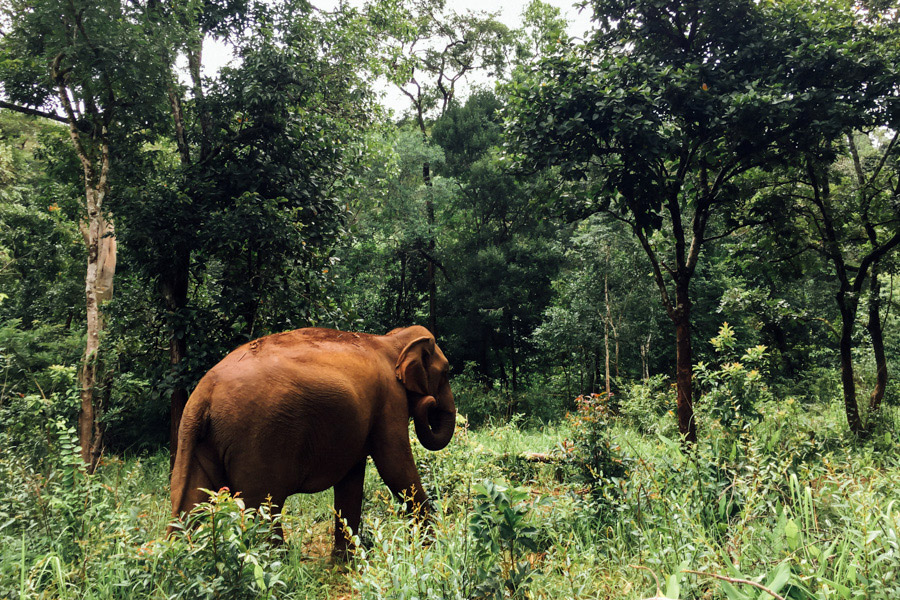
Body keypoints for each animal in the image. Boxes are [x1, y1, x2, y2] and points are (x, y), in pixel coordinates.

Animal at [167, 324, 458, 556]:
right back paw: (278, 563)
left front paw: (345, 562)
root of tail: (204, 393)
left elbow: (352, 480)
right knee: (261, 505)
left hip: (196, 439)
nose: (430, 402)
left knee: (191, 503)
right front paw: (434, 549)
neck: (392, 340)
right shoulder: (390, 398)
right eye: (445, 372)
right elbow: (395, 467)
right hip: (256, 439)